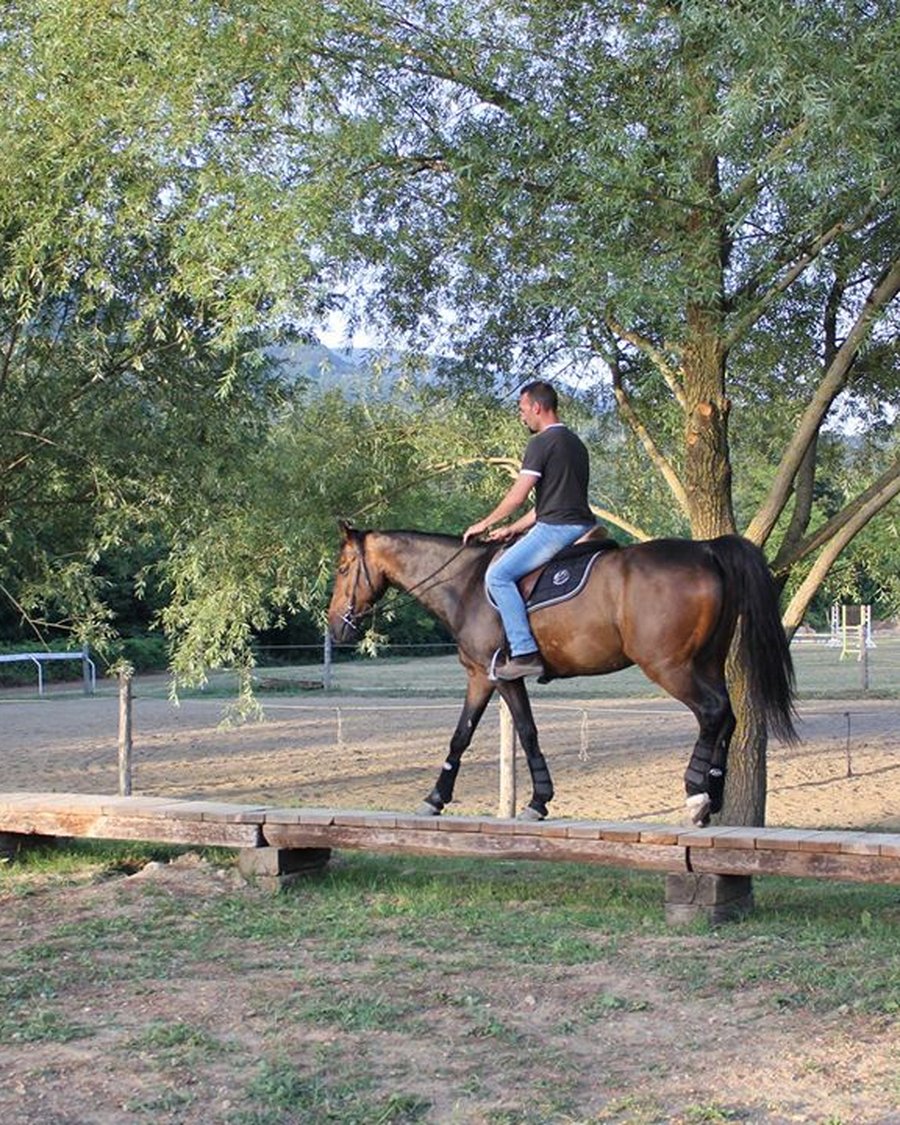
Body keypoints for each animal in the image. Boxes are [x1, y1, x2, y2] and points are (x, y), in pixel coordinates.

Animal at [327, 522, 798, 825]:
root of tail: (706, 549)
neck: (467, 582)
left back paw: (696, 795)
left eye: (342, 569)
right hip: (707, 662)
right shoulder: (499, 678)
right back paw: (713, 794)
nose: (334, 627)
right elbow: (518, 732)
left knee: (713, 713)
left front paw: (436, 797)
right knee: (729, 717)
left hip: (671, 667)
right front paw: (537, 801)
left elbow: (468, 734)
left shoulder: (488, 675)